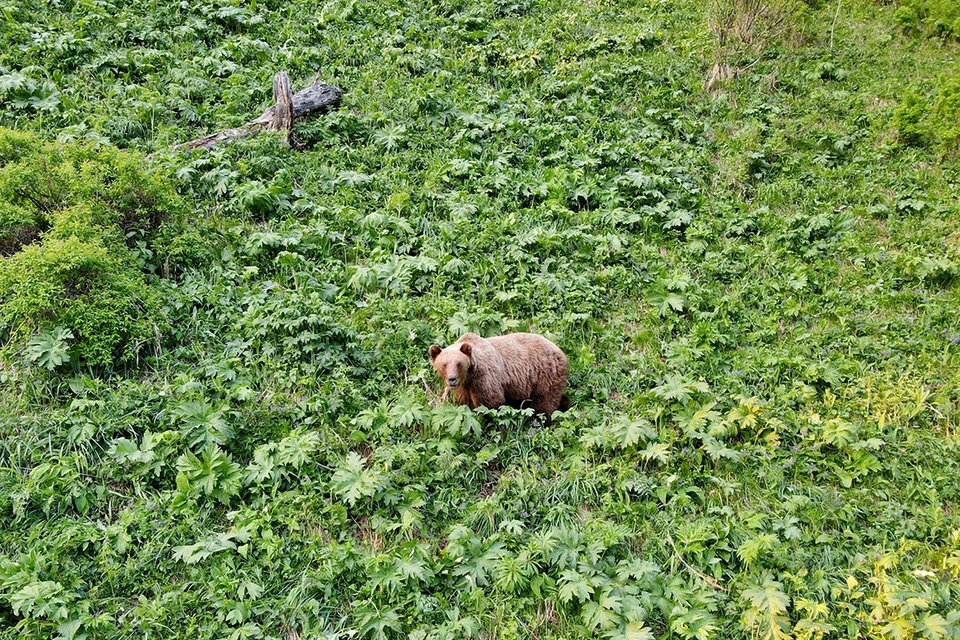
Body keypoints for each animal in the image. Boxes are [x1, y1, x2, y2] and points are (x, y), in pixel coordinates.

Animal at [428, 332, 571, 426]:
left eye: (459, 364)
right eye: (444, 364)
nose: (452, 379)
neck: (469, 376)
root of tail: (560, 351)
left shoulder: (484, 377)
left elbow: (491, 404)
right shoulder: (464, 387)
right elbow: (466, 403)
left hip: (545, 374)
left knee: (544, 403)